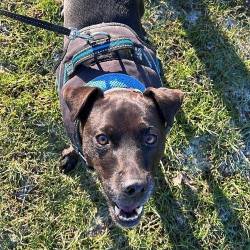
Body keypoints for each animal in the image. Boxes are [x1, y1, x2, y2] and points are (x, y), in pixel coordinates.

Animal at [58, 0, 184, 229]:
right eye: (102, 139)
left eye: (151, 138)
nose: (135, 188)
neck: (114, 81)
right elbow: (73, 142)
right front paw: (70, 156)